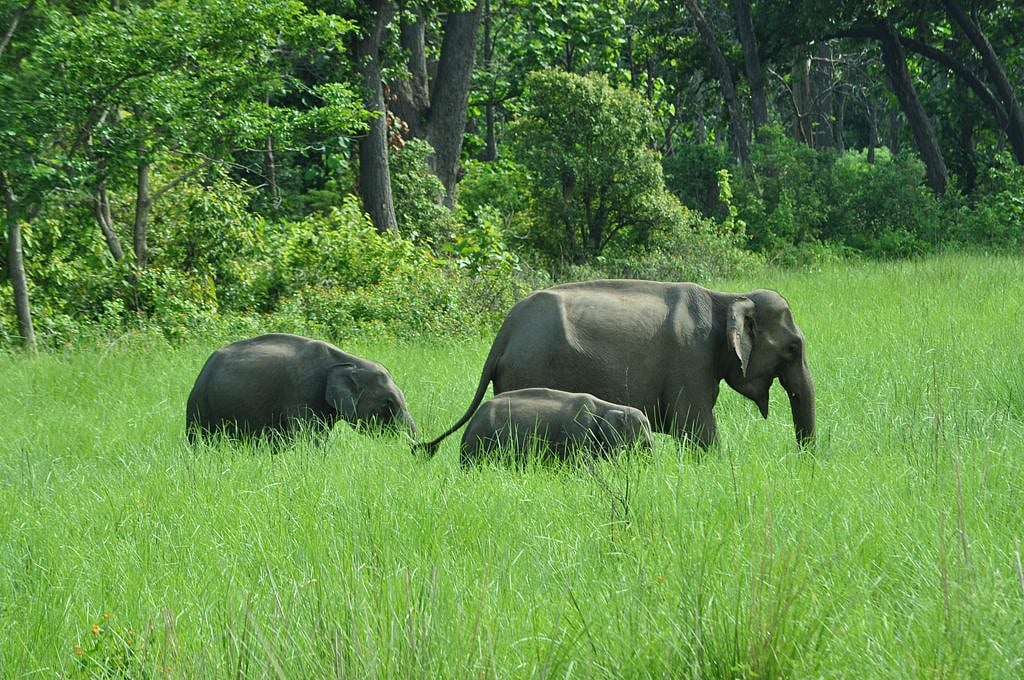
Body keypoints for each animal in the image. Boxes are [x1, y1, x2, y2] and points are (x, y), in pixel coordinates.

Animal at [416, 279, 814, 455]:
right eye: (793, 348)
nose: (802, 459)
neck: (728, 297)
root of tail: (506, 330)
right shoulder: (690, 360)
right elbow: (695, 426)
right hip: (528, 367)